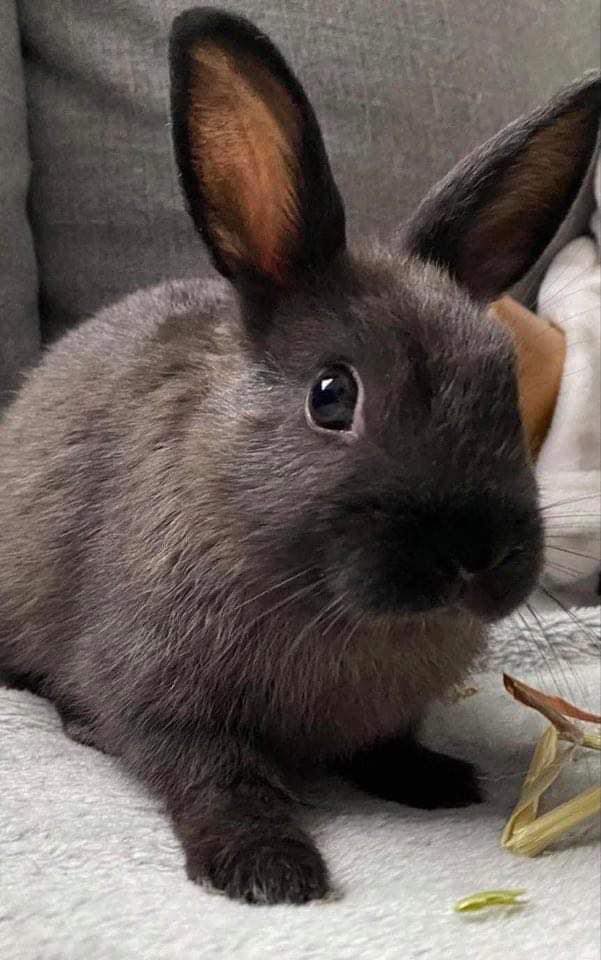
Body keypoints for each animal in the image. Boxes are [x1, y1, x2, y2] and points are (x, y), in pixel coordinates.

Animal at [0, 7, 599, 905]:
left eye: (505, 384)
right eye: (330, 395)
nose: (475, 555)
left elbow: (385, 741)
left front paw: (433, 779)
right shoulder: (164, 697)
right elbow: (216, 776)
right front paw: (268, 870)